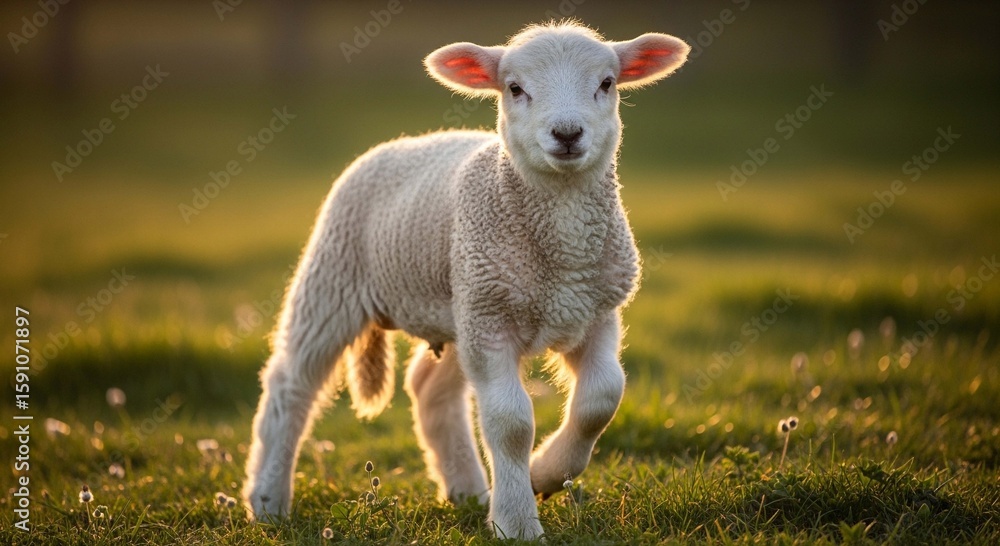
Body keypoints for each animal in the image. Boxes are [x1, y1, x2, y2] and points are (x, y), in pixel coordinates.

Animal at [242, 20, 689, 540]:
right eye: (514, 88)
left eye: (607, 83)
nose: (567, 133)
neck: (562, 256)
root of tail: (405, 140)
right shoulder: (492, 319)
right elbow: (510, 423)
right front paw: (517, 523)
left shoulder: (594, 311)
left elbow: (601, 399)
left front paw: (543, 475)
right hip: (335, 279)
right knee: (290, 384)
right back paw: (267, 501)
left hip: (458, 306)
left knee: (429, 390)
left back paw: (468, 492)